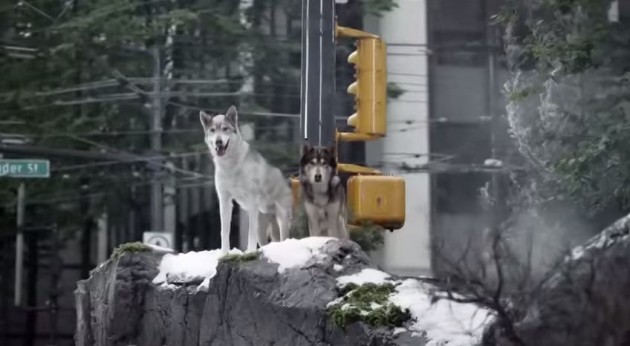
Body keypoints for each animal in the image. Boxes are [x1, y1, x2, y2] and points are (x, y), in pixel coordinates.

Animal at [200, 104, 294, 253]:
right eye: (213, 130)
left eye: (225, 129)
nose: (218, 142)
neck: (230, 166)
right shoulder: (225, 200)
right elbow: (224, 232)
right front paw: (224, 253)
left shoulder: (252, 201)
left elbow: (250, 234)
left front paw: (249, 252)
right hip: (262, 230)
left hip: (281, 220)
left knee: (283, 238)